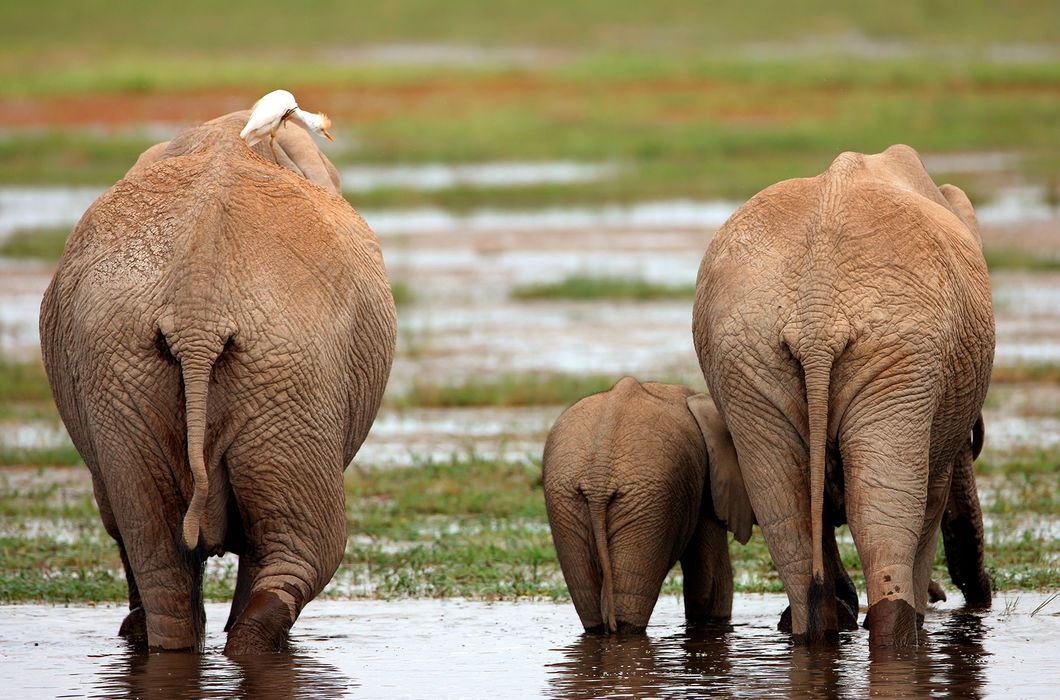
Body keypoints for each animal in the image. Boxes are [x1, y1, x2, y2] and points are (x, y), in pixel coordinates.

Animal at [695, 145, 992, 649]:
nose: (978, 597)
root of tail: (817, 310)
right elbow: (931, 496)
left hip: (744, 356)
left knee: (784, 509)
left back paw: (815, 631)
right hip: (900, 352)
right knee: (883, 513)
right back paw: (899, 633)